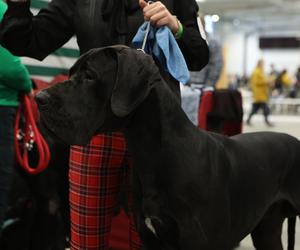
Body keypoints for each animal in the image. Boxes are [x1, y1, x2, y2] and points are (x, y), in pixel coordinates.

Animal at [34, 45, 300, 250]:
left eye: (90, 76)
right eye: (70, 73)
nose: (39, 98)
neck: (155, 151)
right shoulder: (150, 238)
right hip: (267, 229)